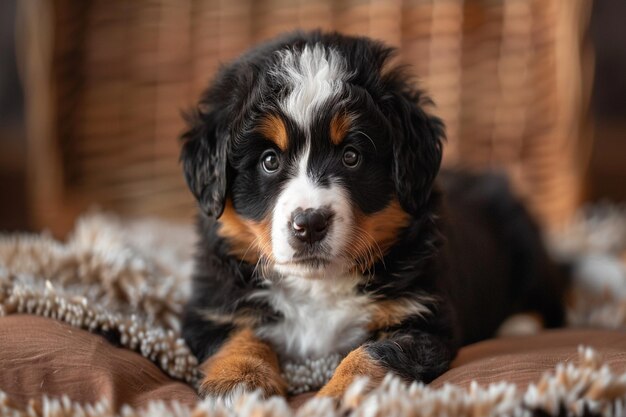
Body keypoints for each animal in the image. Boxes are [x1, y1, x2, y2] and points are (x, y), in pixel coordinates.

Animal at [177, 30, 564, 402]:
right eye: (269, 160)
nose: (310, 224)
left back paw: (519, 325)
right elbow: (239, 337)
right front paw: (239, 383)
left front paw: (339, 395)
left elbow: (372, 355)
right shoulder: (212, 307)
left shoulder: (424, 318)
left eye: (351, 156)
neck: (318, 287)